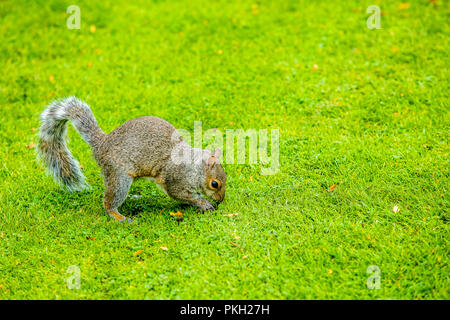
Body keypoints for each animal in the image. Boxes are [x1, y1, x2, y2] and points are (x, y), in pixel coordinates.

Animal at [36, 97, 225, 222]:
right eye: (214, 184)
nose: (221, 200)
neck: (194, 168)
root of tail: (102, 143)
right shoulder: (175, 180)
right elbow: (182, 194)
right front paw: (203, 203)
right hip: (119, 176)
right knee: (108, 201)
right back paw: (119, 216)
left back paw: (134, 198)